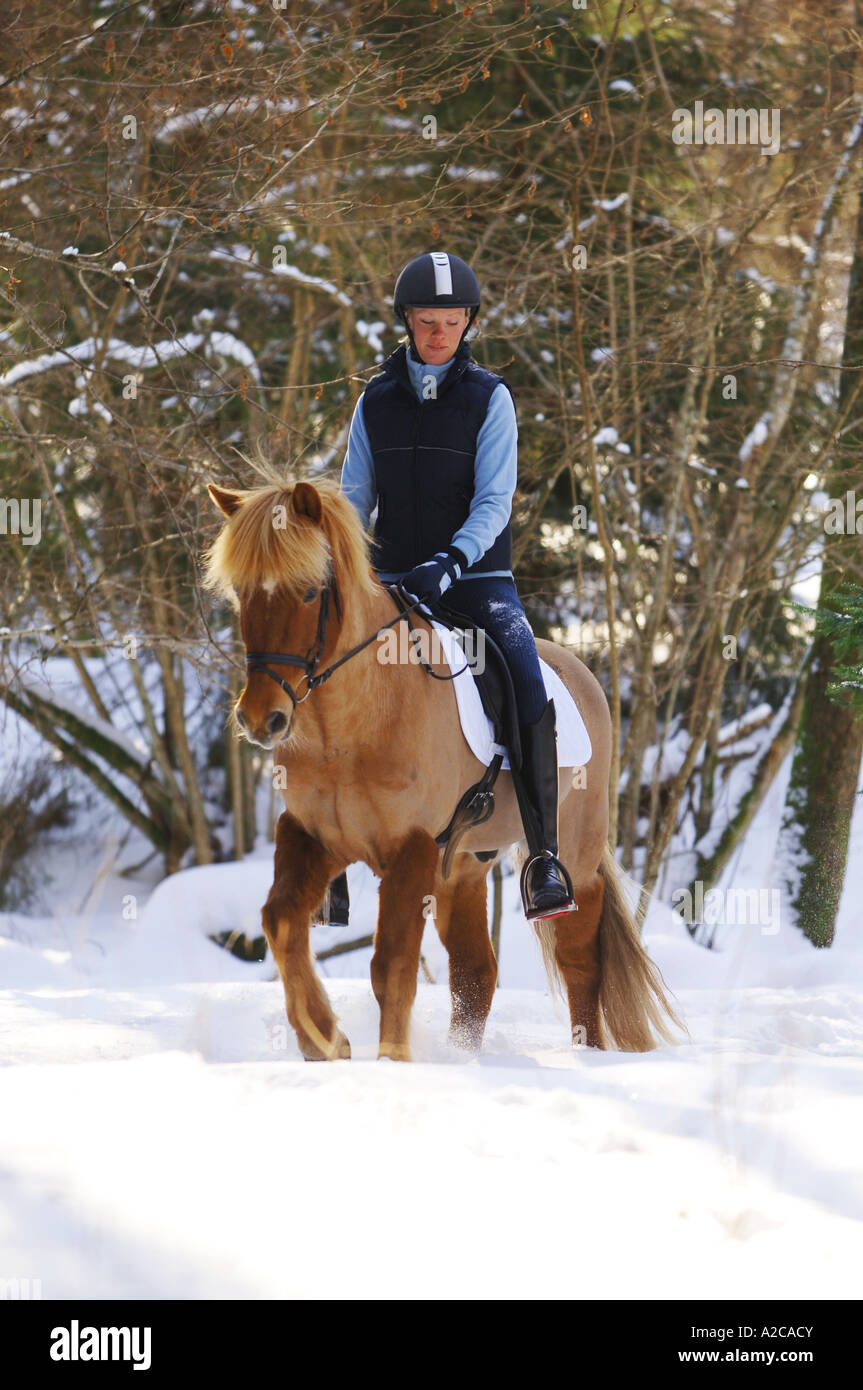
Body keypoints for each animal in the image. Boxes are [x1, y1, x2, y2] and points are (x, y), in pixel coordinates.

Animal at [203, 475, 682, 1061]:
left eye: (310, 592)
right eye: (241, 593)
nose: (260, 718)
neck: (352, 726)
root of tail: (581, 671)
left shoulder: (410, 847)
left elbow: (391, 964)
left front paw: (391, 1060)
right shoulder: (314, 835)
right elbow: (282, 921)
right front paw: (324, 1038)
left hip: (577, 852)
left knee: (579, 959)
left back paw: (586, 1053)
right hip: (463, 868)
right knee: (476, 968)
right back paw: (463, 1056)